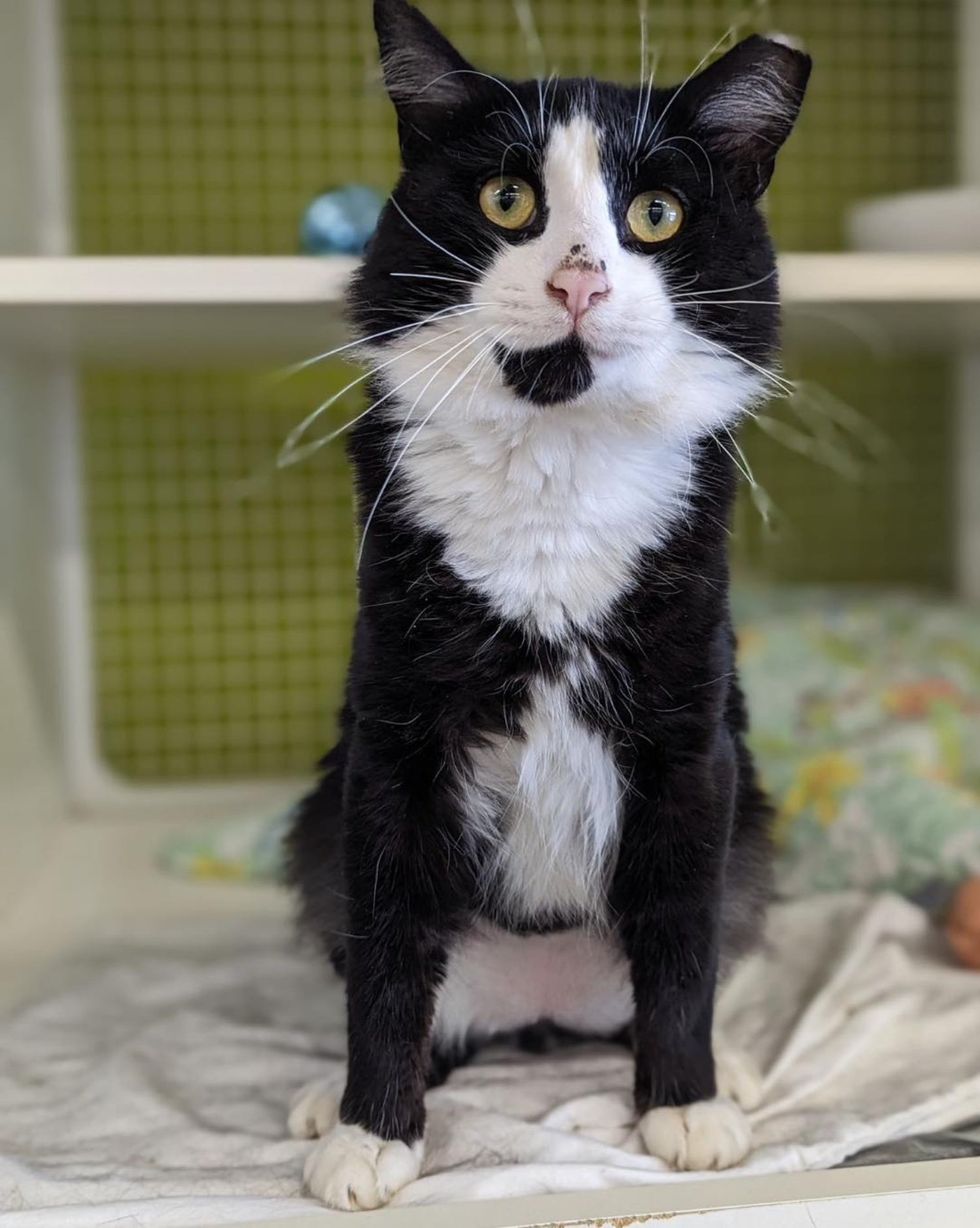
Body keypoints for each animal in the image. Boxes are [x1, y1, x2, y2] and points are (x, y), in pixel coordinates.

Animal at [286, 0, 815, 1208]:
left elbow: (681, 940)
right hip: (319, 836)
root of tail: (539, 1003)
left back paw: (726, 1070)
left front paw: (686, 1105)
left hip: (749, 841)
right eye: (506, 201)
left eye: (656, 214)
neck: (556, 469)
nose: (579, 281)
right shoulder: (393, 740)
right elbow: (387, 948)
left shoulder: (690, 742)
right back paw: (330, 1093)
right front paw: (371, 1131)